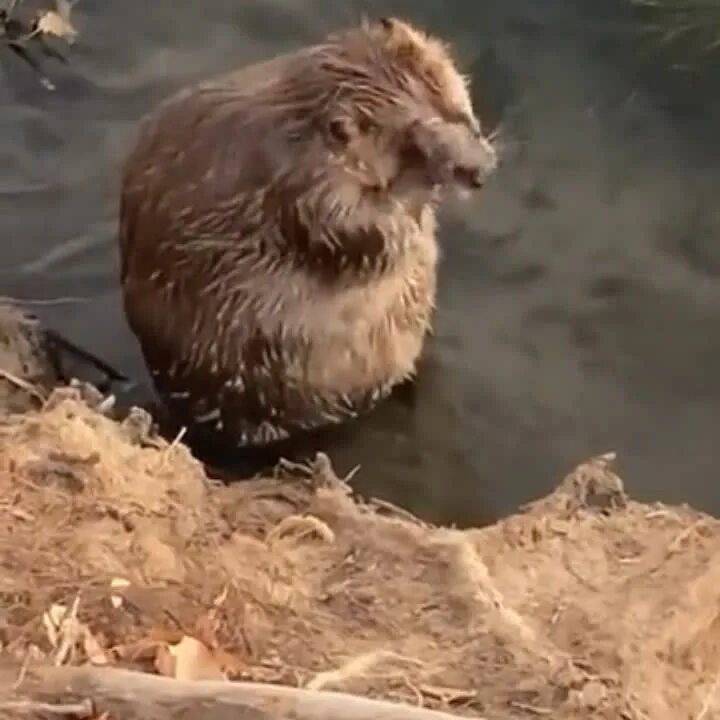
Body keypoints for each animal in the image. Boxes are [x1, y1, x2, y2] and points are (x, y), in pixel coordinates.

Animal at [119, 16, 500, 448]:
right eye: (414, 141)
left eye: (451, 104)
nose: (478, 171)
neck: (299, 124)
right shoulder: (300, 185)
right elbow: (352, 236)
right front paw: (411, 221)